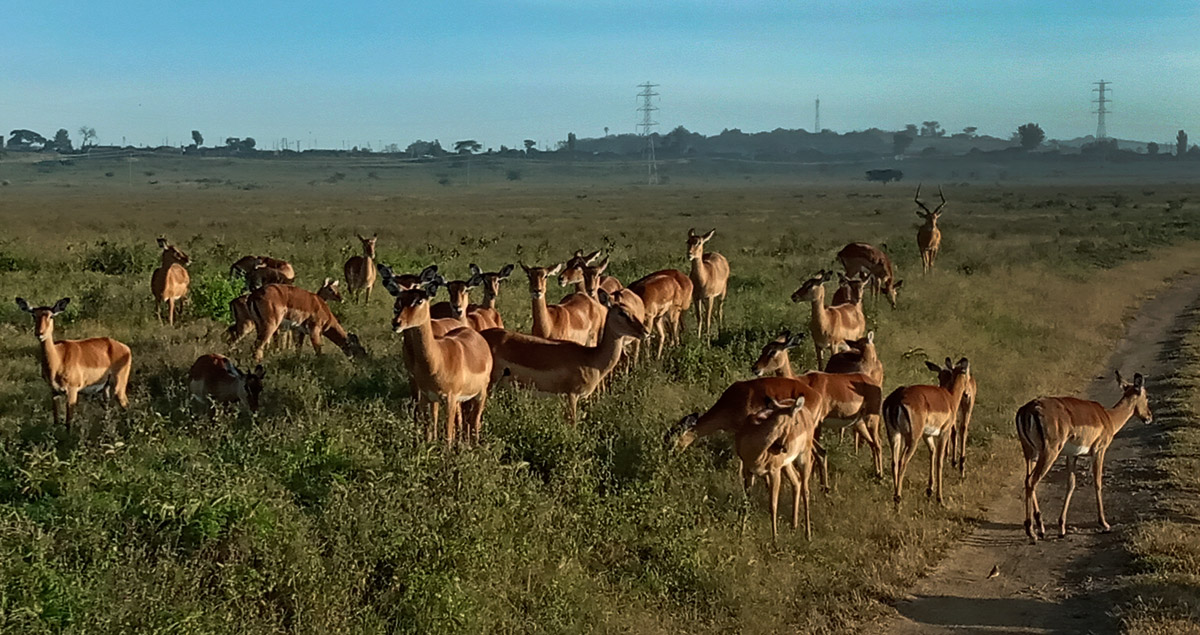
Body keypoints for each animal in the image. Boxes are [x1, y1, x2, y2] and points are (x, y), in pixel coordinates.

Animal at [16, 297, 130, 429]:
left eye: (51, 316)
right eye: (34, 315)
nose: (40, 333)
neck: (58, 359)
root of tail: (125, 348)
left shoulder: (72, 391)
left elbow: (68, 423)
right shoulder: (54, 392)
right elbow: (56, 420)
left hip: (118, 387)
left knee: (126, 405)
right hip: (105, 387)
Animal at [1017, 369, 1147, 542]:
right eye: (1146, 396)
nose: (1149, 417)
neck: (1108, 418)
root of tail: (1028, 409)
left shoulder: (1072, 455)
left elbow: (1071, 484)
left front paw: (1062, 528)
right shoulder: (1099, 450)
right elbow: (1097, 482)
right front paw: (1104, 524)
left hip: (1030, 453)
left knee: (1027, 480)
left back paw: (1041, 529)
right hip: (1049, 452)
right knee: (1032, 481)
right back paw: (1032, 532)